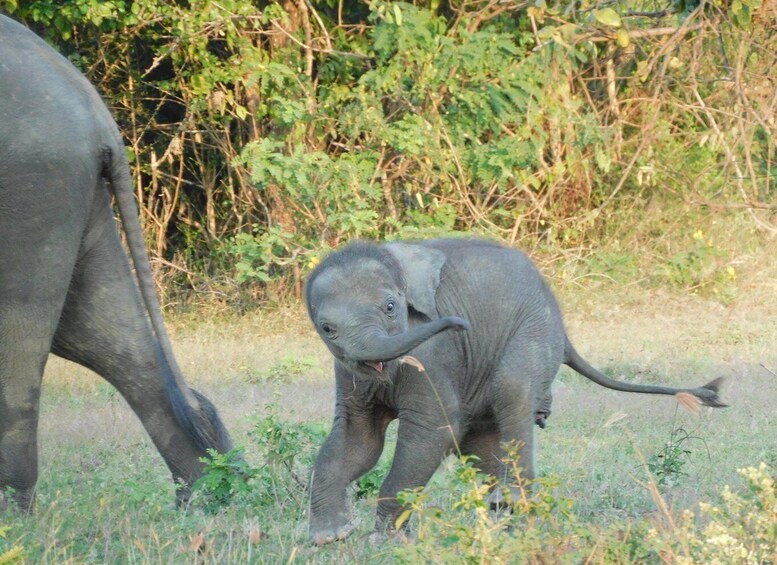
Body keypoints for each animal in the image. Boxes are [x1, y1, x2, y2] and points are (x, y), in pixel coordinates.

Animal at [0, 15, 232, 511]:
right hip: (69, 193)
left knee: (23, 333)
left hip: (32, 190)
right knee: (103, 336)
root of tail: (98, 116)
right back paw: (210, 494)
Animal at [304, 238, 726, 545]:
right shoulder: (348, 371)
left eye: (391, 307)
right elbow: (358, 439)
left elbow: (431, 430)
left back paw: (510, 504)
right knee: (483, 442)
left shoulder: (434, 355)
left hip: (536, 332)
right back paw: (509, 518)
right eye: (327, 329)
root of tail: (564, 331)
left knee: (513, 391)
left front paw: (384, 543)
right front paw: (330, 538)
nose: (461, 324)